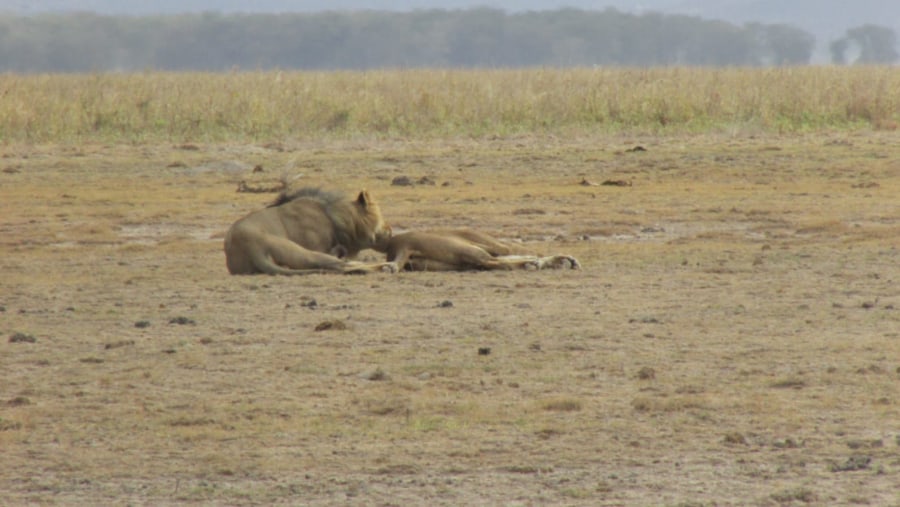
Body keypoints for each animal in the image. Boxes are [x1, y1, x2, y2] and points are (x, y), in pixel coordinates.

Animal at [223, 188, 396, 276]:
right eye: (380, 216)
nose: (390, 230)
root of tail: (252, 250)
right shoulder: (316, 246)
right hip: (301, 251)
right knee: (340, 265)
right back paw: (388, 266)